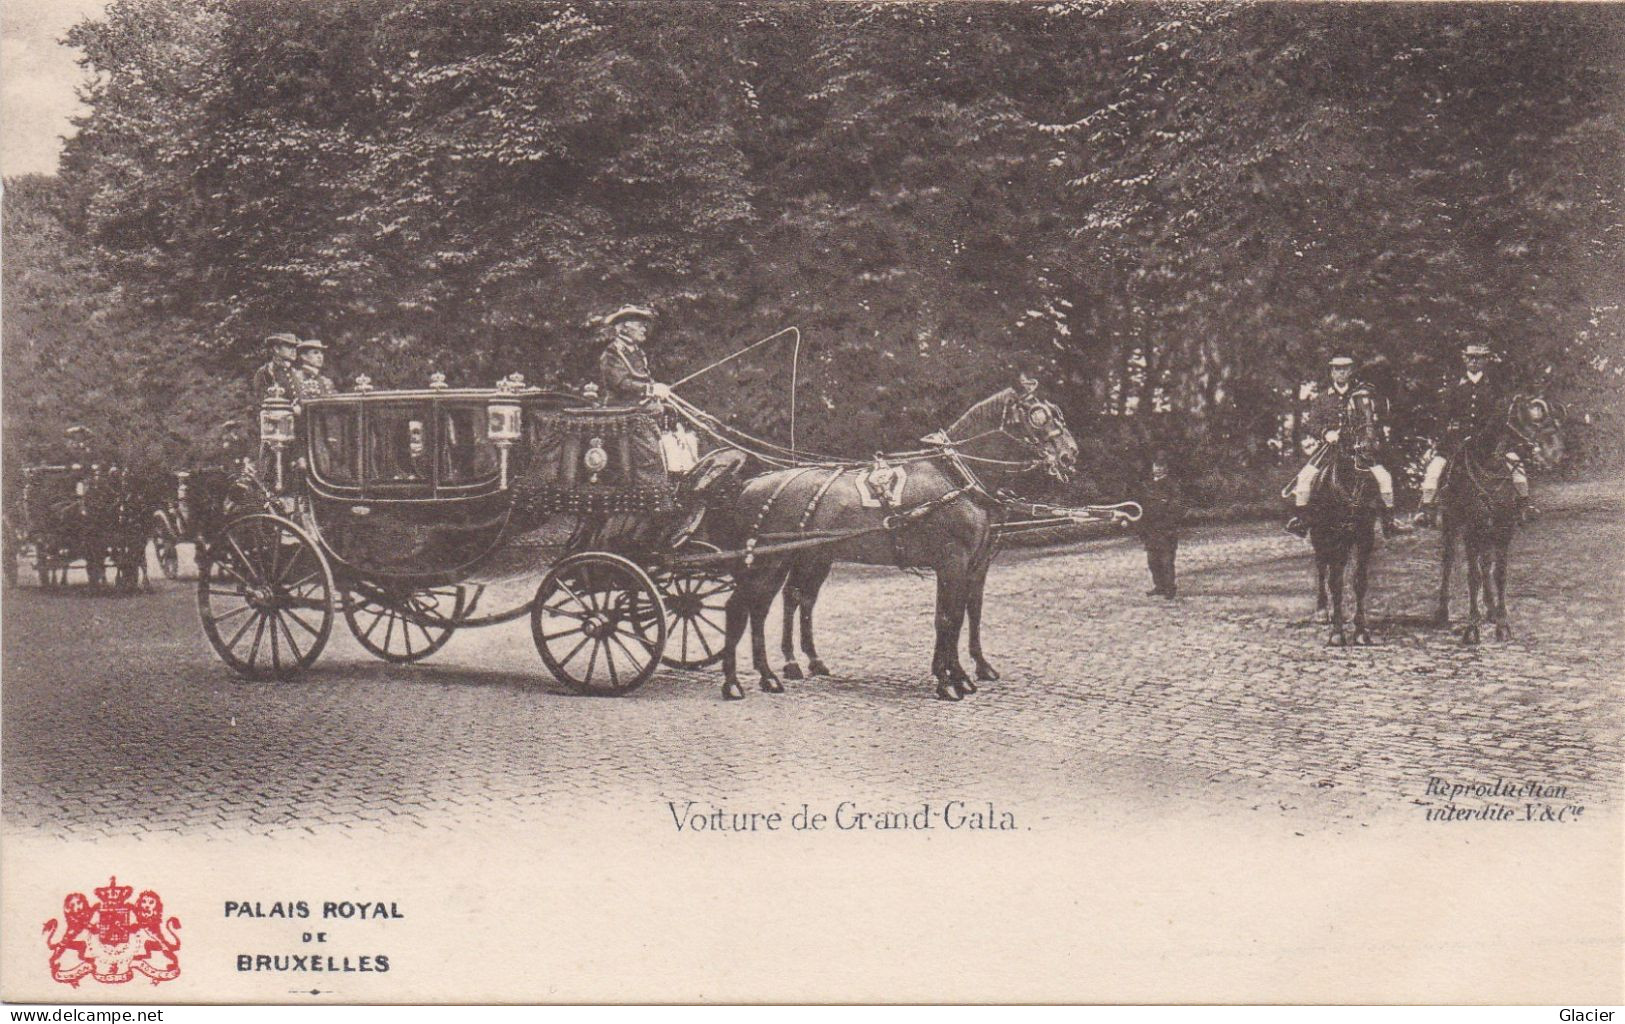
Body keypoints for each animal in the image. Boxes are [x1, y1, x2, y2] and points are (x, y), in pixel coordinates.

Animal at [711, 383, 1079, 705]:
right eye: (1038, 415)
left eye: (1056, 412)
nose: (1069, 454)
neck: (955, 478)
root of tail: (749, 484)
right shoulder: (952, 561)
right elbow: (948, 619)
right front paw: (948, 681)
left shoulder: (975, 563)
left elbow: (966, 614)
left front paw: (964, 673)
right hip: (768, 561)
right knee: (741, 608)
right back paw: (735, 683)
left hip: (797, 559)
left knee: (772, 605)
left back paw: (773, 673)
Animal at [1436, 396, 1560, 646]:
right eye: (1533, 419)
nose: (1554, 452)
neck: (1489, 467)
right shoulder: (1471, 531)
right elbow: (1472, 577)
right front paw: (1472, 627)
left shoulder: (1504, 530)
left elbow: (1499, 574)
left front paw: (1502, 624)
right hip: (1452, 524)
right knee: (1448, 562)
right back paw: (1443, 611)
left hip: (1488, 531)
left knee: (1486, 563)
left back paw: (1491, 608)